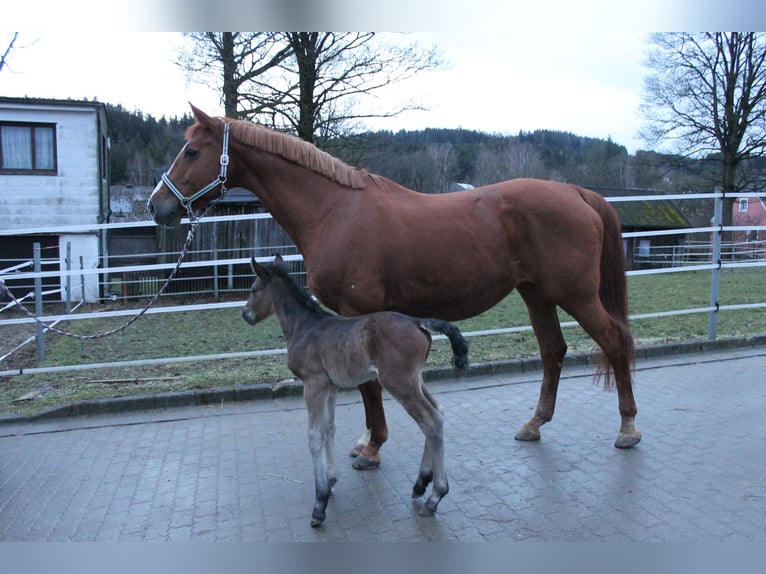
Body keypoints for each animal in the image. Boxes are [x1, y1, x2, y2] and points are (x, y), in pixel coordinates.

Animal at [148, 104, 640, 472]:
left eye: (191, 151)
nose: (158, 206)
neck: (335, 210)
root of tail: (577, 192)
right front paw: (368, 439)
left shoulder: (357, 311)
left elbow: (368, 385)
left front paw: (372, 447)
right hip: (536, 292)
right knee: (553, 350)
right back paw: (534, 424)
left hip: (575, 294)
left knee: (615, 342)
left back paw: (628, 429)